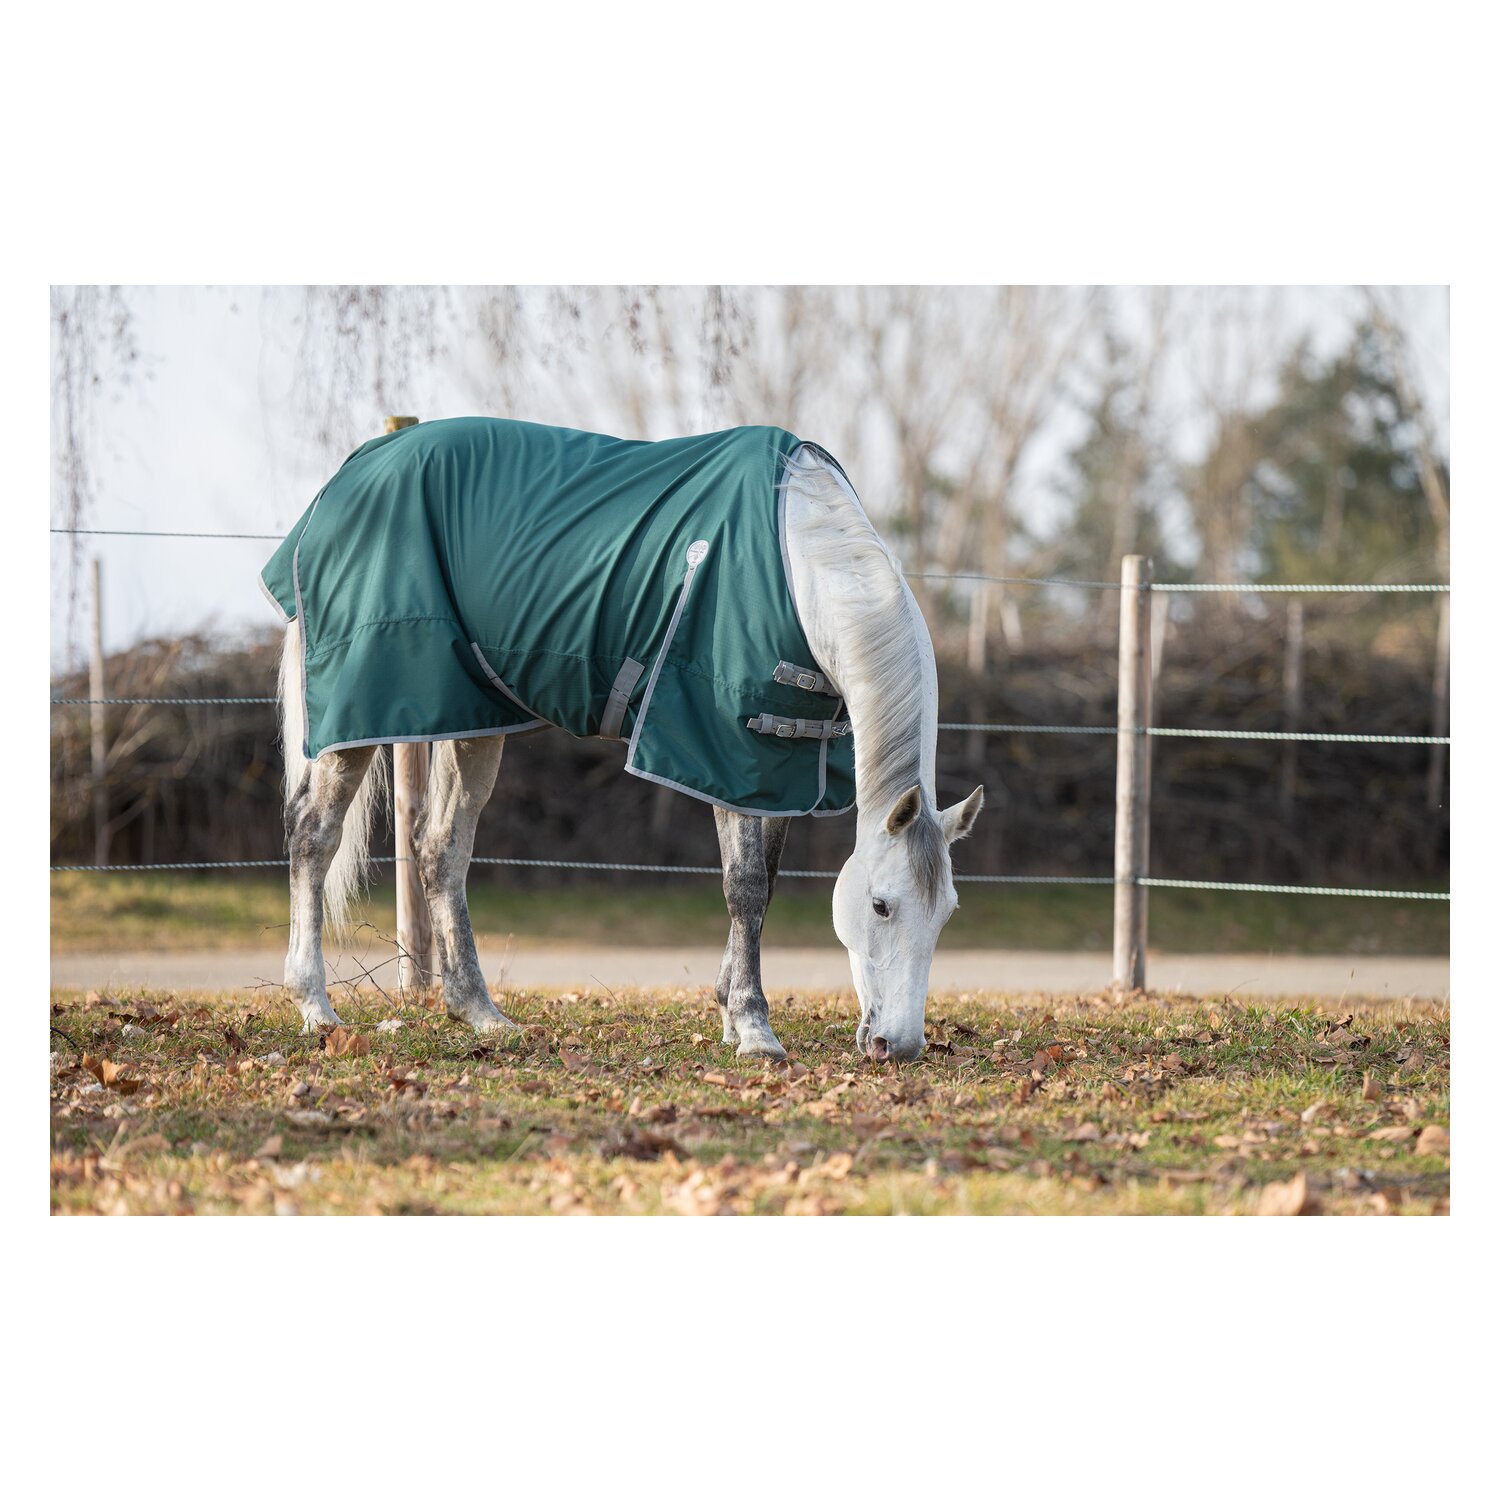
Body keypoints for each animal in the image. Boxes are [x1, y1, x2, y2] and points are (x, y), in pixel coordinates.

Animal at [268, 419, 982, 1062]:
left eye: (948, 912)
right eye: (881, 906)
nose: (901, 1046)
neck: (800, 561)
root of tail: (353, 470)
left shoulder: (778, 766)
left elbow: (766, 884)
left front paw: (730, 1012)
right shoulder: (718, 748)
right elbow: (746, 886)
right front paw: (754, 1029)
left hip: (467, 718)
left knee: (441, 849)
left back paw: (481, 1015)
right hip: (360, 707)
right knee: (313, 834)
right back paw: (317, 1009)